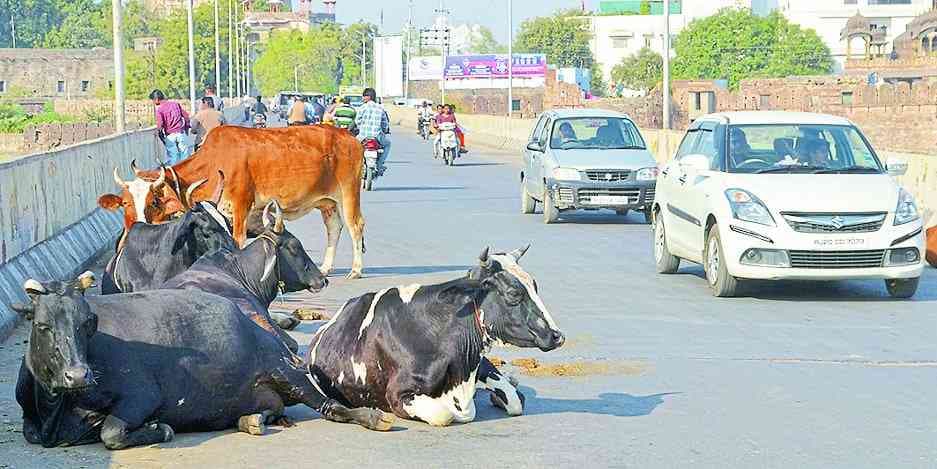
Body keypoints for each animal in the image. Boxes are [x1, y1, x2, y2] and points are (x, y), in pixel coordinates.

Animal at [11, 274, 392, 450]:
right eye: (43, 325)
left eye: (88, 322)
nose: (78, 375)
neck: (56, 409)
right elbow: (35, 432)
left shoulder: (142, 394)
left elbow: (112, 433)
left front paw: (159, 428)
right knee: (270, 409)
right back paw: (252, 420)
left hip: (285, 369)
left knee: (331, 407)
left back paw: (373, 418)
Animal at [99, 124, 366, 278]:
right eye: (125, 203)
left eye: (154, 201)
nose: (129, 235)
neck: (214, 162)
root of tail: (351, 138)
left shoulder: (240, 207)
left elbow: (237, 241)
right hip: (327, 202)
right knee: (334, 228)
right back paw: (325, 268)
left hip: (348, 193)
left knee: (355, 226)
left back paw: (355, 270)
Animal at [306, 247, 564, 426]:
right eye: (513, 293)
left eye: (535, 286)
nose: (557, 335)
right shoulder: (397, 395)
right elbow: (443, 414)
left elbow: (514, 400)